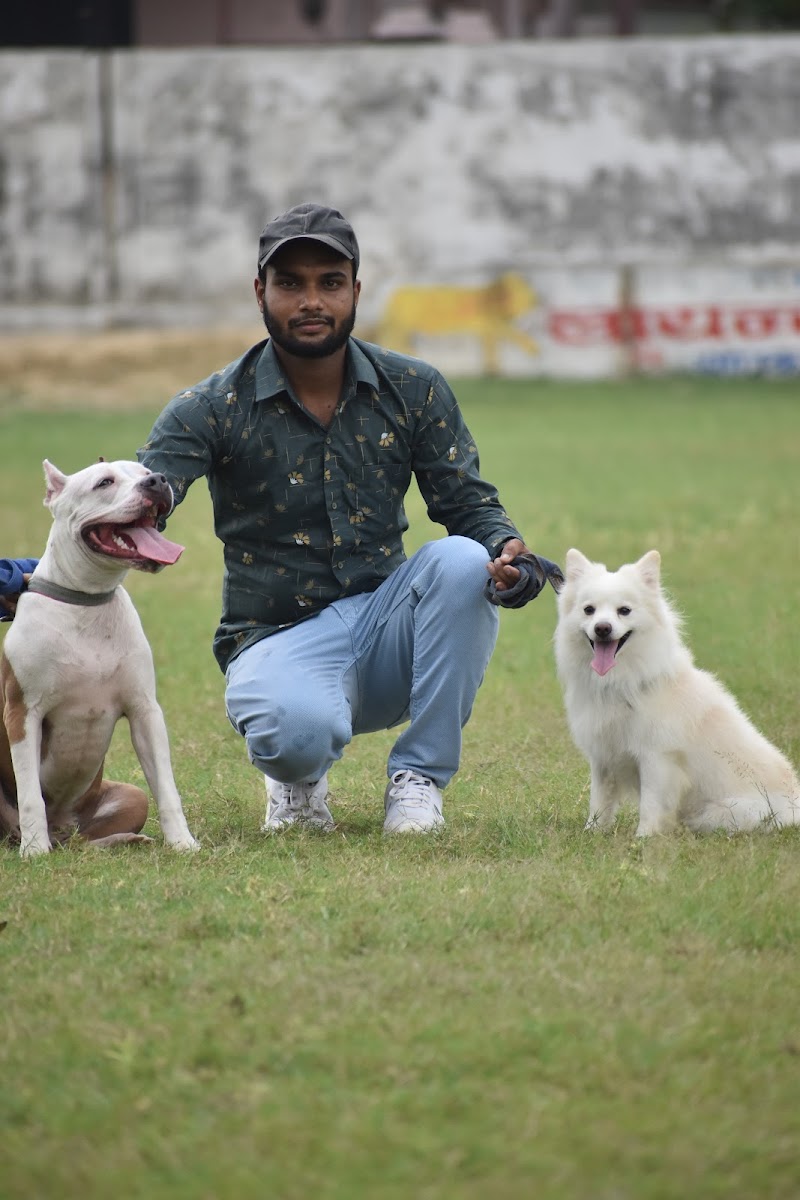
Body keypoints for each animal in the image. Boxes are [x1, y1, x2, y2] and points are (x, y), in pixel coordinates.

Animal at [0, 459, 199, 858]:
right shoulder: (22, 713)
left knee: (86, 841)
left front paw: (183, 843)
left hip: (127, 797)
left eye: (146, 471)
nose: (158, 481)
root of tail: (60, 830)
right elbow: (30, 794)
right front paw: (34, 851)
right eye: (104, 483)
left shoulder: (144, 710)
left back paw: (126, 839)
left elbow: (166, 787)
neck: (87, 599)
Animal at [554, 548, 799, 835]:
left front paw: (643, 838)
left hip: (726, 813)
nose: (602, 628)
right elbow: (599, 802)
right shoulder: (603, 757)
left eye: (624, 611)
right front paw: (591, 833)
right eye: (589, 610)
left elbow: (650, 804)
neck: (621, 682)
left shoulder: (656, 758)